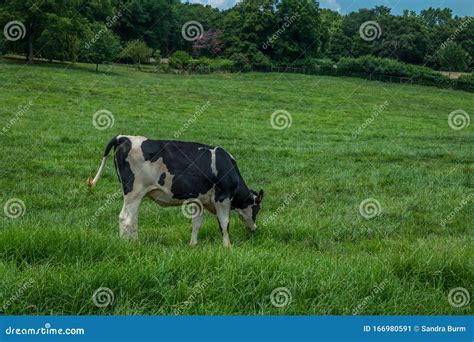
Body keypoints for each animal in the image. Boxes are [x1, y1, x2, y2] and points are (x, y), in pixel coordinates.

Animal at [87, 134, 264, 246]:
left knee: (132, 217)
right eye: (257, 209)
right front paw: (227, 246)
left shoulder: (198, 200)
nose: (255, 229)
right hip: (134, 191)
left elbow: (196, 223)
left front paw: (193, 245)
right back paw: (132, 244)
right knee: (126, 218)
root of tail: (124, 137)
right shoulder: (223, 197)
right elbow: (225, 222)